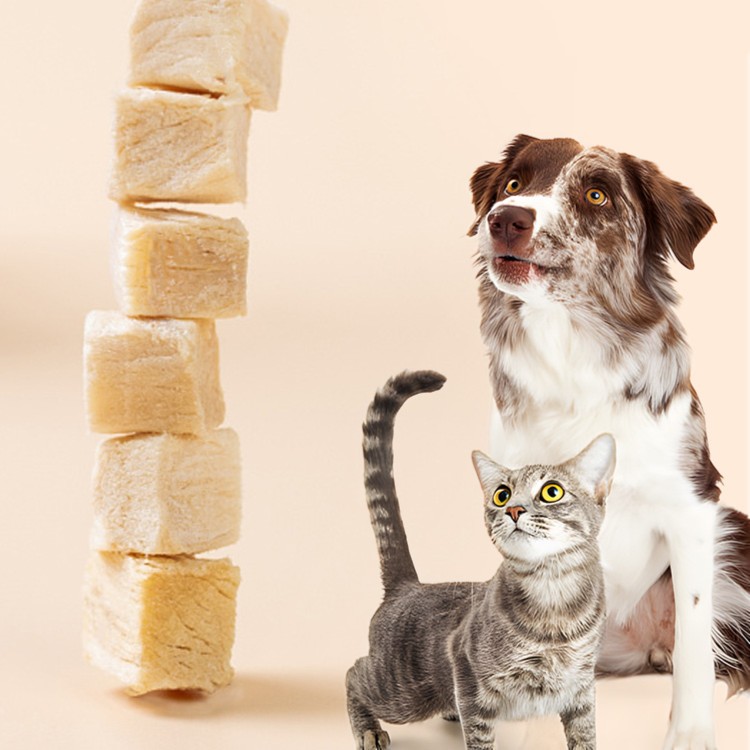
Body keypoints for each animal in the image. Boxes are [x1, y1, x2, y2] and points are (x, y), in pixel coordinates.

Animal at [346, 374, 616, 750]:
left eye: (552, 491)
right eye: (501, 495)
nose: (514, 509)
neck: (553, 594)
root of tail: (406, 586)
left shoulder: (581, 684)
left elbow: (584, 734)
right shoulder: (469, 676)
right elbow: (479, 735)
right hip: (401, 692)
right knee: (353, 673)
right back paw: (368, 730)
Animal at [470, 137, 750, 750]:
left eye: (596, 194)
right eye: (513, 183)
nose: (505, 219)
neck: (574, 348)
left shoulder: (694, 506)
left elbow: (697, 639)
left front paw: (691, 733)